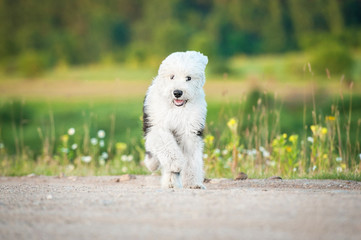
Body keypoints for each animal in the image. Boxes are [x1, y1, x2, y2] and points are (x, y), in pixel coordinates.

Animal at [142, 51, 207, 189]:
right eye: (172, 76)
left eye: (188, 78)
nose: (177, 92)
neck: (177, 109)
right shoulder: (157, 127)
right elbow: (166, 145)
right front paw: (175, 163)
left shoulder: (190, 131)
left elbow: (192, 159)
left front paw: (193, 183)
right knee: (153, 150)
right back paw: (153, 164)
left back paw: (171, 182)